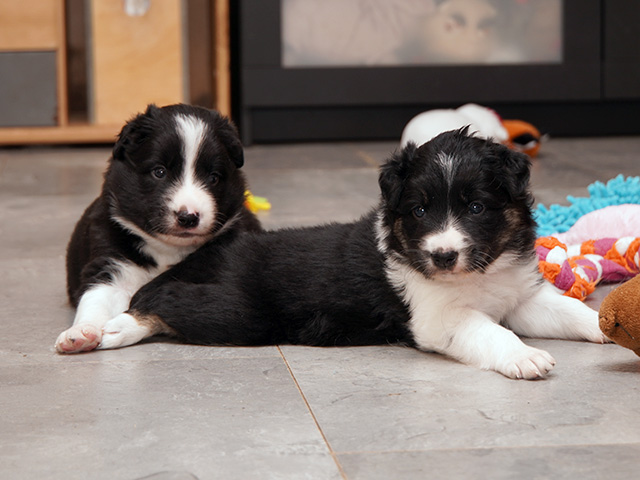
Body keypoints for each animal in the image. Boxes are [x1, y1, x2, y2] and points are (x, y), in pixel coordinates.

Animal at [55, 104, 261, 353]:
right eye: (159, 172)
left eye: (213, 178)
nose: (188, 217)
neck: (168, 249)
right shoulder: (111, 266)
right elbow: (95, 300)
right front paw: (82, 332)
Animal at [89, 129, 606, 379]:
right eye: (419, 209)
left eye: (476, 207)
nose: (442, 256)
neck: (478, 275)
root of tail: (204, 254)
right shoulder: (439, 318)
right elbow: (489, 332)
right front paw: (525, 357)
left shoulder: (522, 296)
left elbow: (570, 311)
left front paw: (607, 324)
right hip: (237, 313)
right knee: (156, 301)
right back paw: (100, 330)